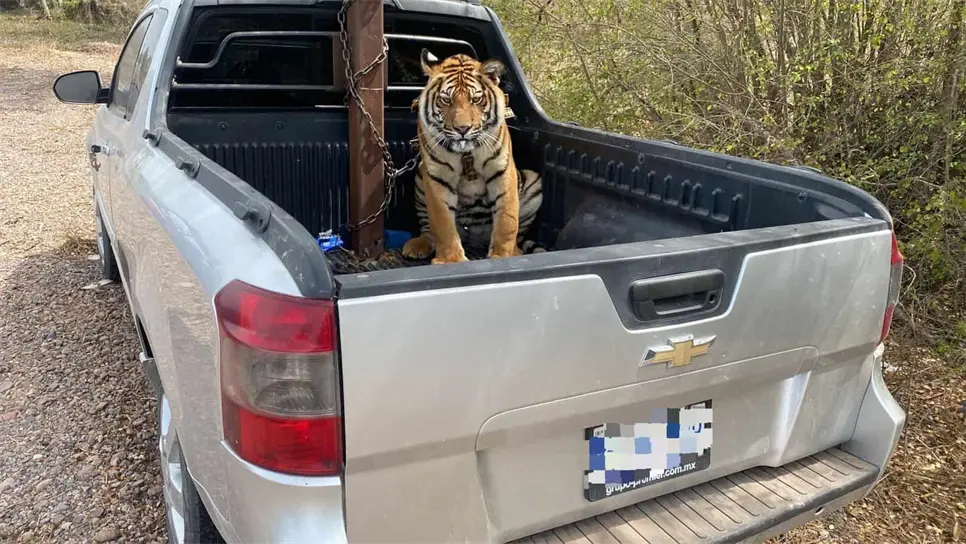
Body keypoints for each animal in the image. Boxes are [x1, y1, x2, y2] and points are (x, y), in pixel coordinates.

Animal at [401, 50, 544, 265]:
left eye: (476, 100)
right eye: (446, 100)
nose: (462, 129)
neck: (465, 153)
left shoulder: (502, 171)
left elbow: (507, 220)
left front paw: (503, 256)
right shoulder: (437, 177)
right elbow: (442, 224)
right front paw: (451, 260)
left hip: (533, 181)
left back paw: (517, 251)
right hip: (420, 175)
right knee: (428, 229)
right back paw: (418, 245)